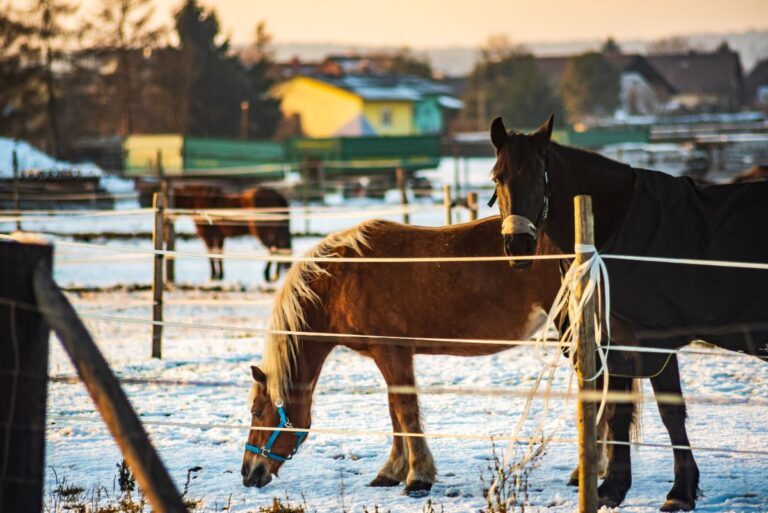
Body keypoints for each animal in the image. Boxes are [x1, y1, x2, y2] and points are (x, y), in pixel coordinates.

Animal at [241, 216, 570, 495]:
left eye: (256, 412)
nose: (247, 472)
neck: (340, 280)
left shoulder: (391, 350)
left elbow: (405, 411)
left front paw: (418, 478)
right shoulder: (388, 355)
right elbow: (394, 410)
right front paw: (391, 472)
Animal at [488, 115, 768, 511]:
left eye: (538, 176)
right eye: (498, 177)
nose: (518, 246)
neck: (615, 228)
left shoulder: (653, 341)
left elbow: (670, 412)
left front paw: (680, 492)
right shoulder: (616, 343)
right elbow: (618, 410)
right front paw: (613, 488)